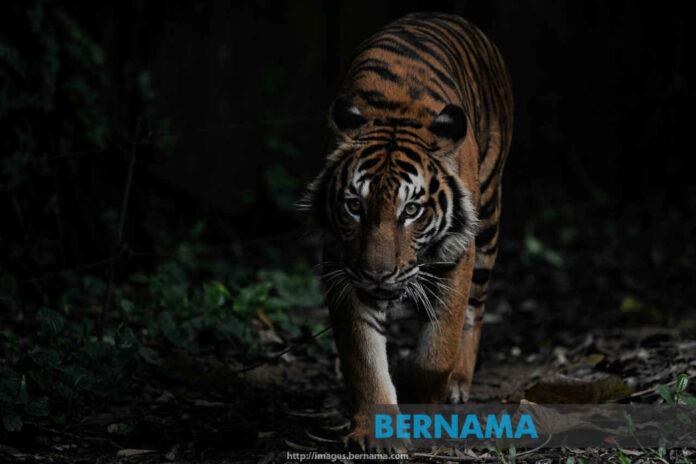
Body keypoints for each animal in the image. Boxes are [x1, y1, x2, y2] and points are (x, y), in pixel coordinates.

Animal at [301, 12, 513, 450]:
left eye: (411, 210)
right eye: (354, 206)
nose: (378, 274)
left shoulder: (459, 253)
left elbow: (438, 349)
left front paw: (424, 405)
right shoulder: (342, 266)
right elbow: (363, 358)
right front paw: (375, 433)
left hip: (488, 218)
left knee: (476, 309)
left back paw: (458, 384)